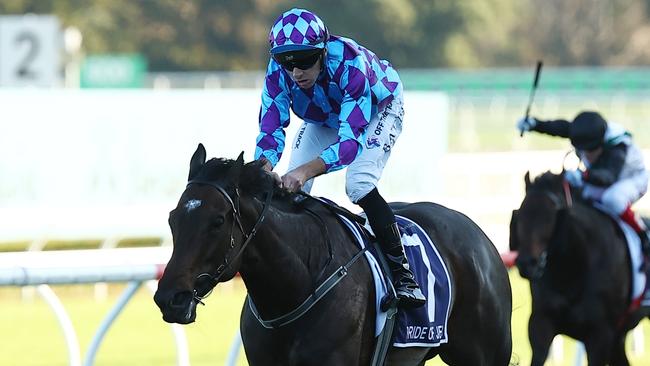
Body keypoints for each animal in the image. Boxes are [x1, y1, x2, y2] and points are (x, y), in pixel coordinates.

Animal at [153, 144, 512, 364]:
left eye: (217, 221)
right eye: (172, 218)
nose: (170, 298)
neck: (295, 284)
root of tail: (478, 234)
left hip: (485, 352)